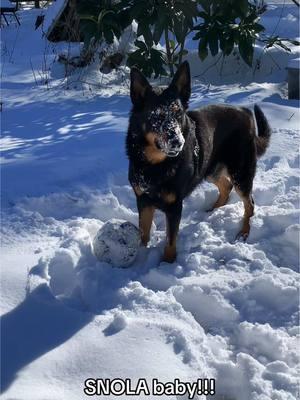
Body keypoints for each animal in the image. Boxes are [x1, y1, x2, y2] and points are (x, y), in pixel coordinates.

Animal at [125, 61, 270, 264]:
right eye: (156, 116)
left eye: (178, 114)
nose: (177, 142)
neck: (155, 165)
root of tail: (245, 112)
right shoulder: (143, 200)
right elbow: (143, 234)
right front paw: (140, 254)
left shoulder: (174, 207)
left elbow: (170, 239)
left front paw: (167, 262)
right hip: (209, 168)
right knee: (226, 187)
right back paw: (211, 210)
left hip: (240, 172)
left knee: (249, 203)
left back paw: (244, 231)